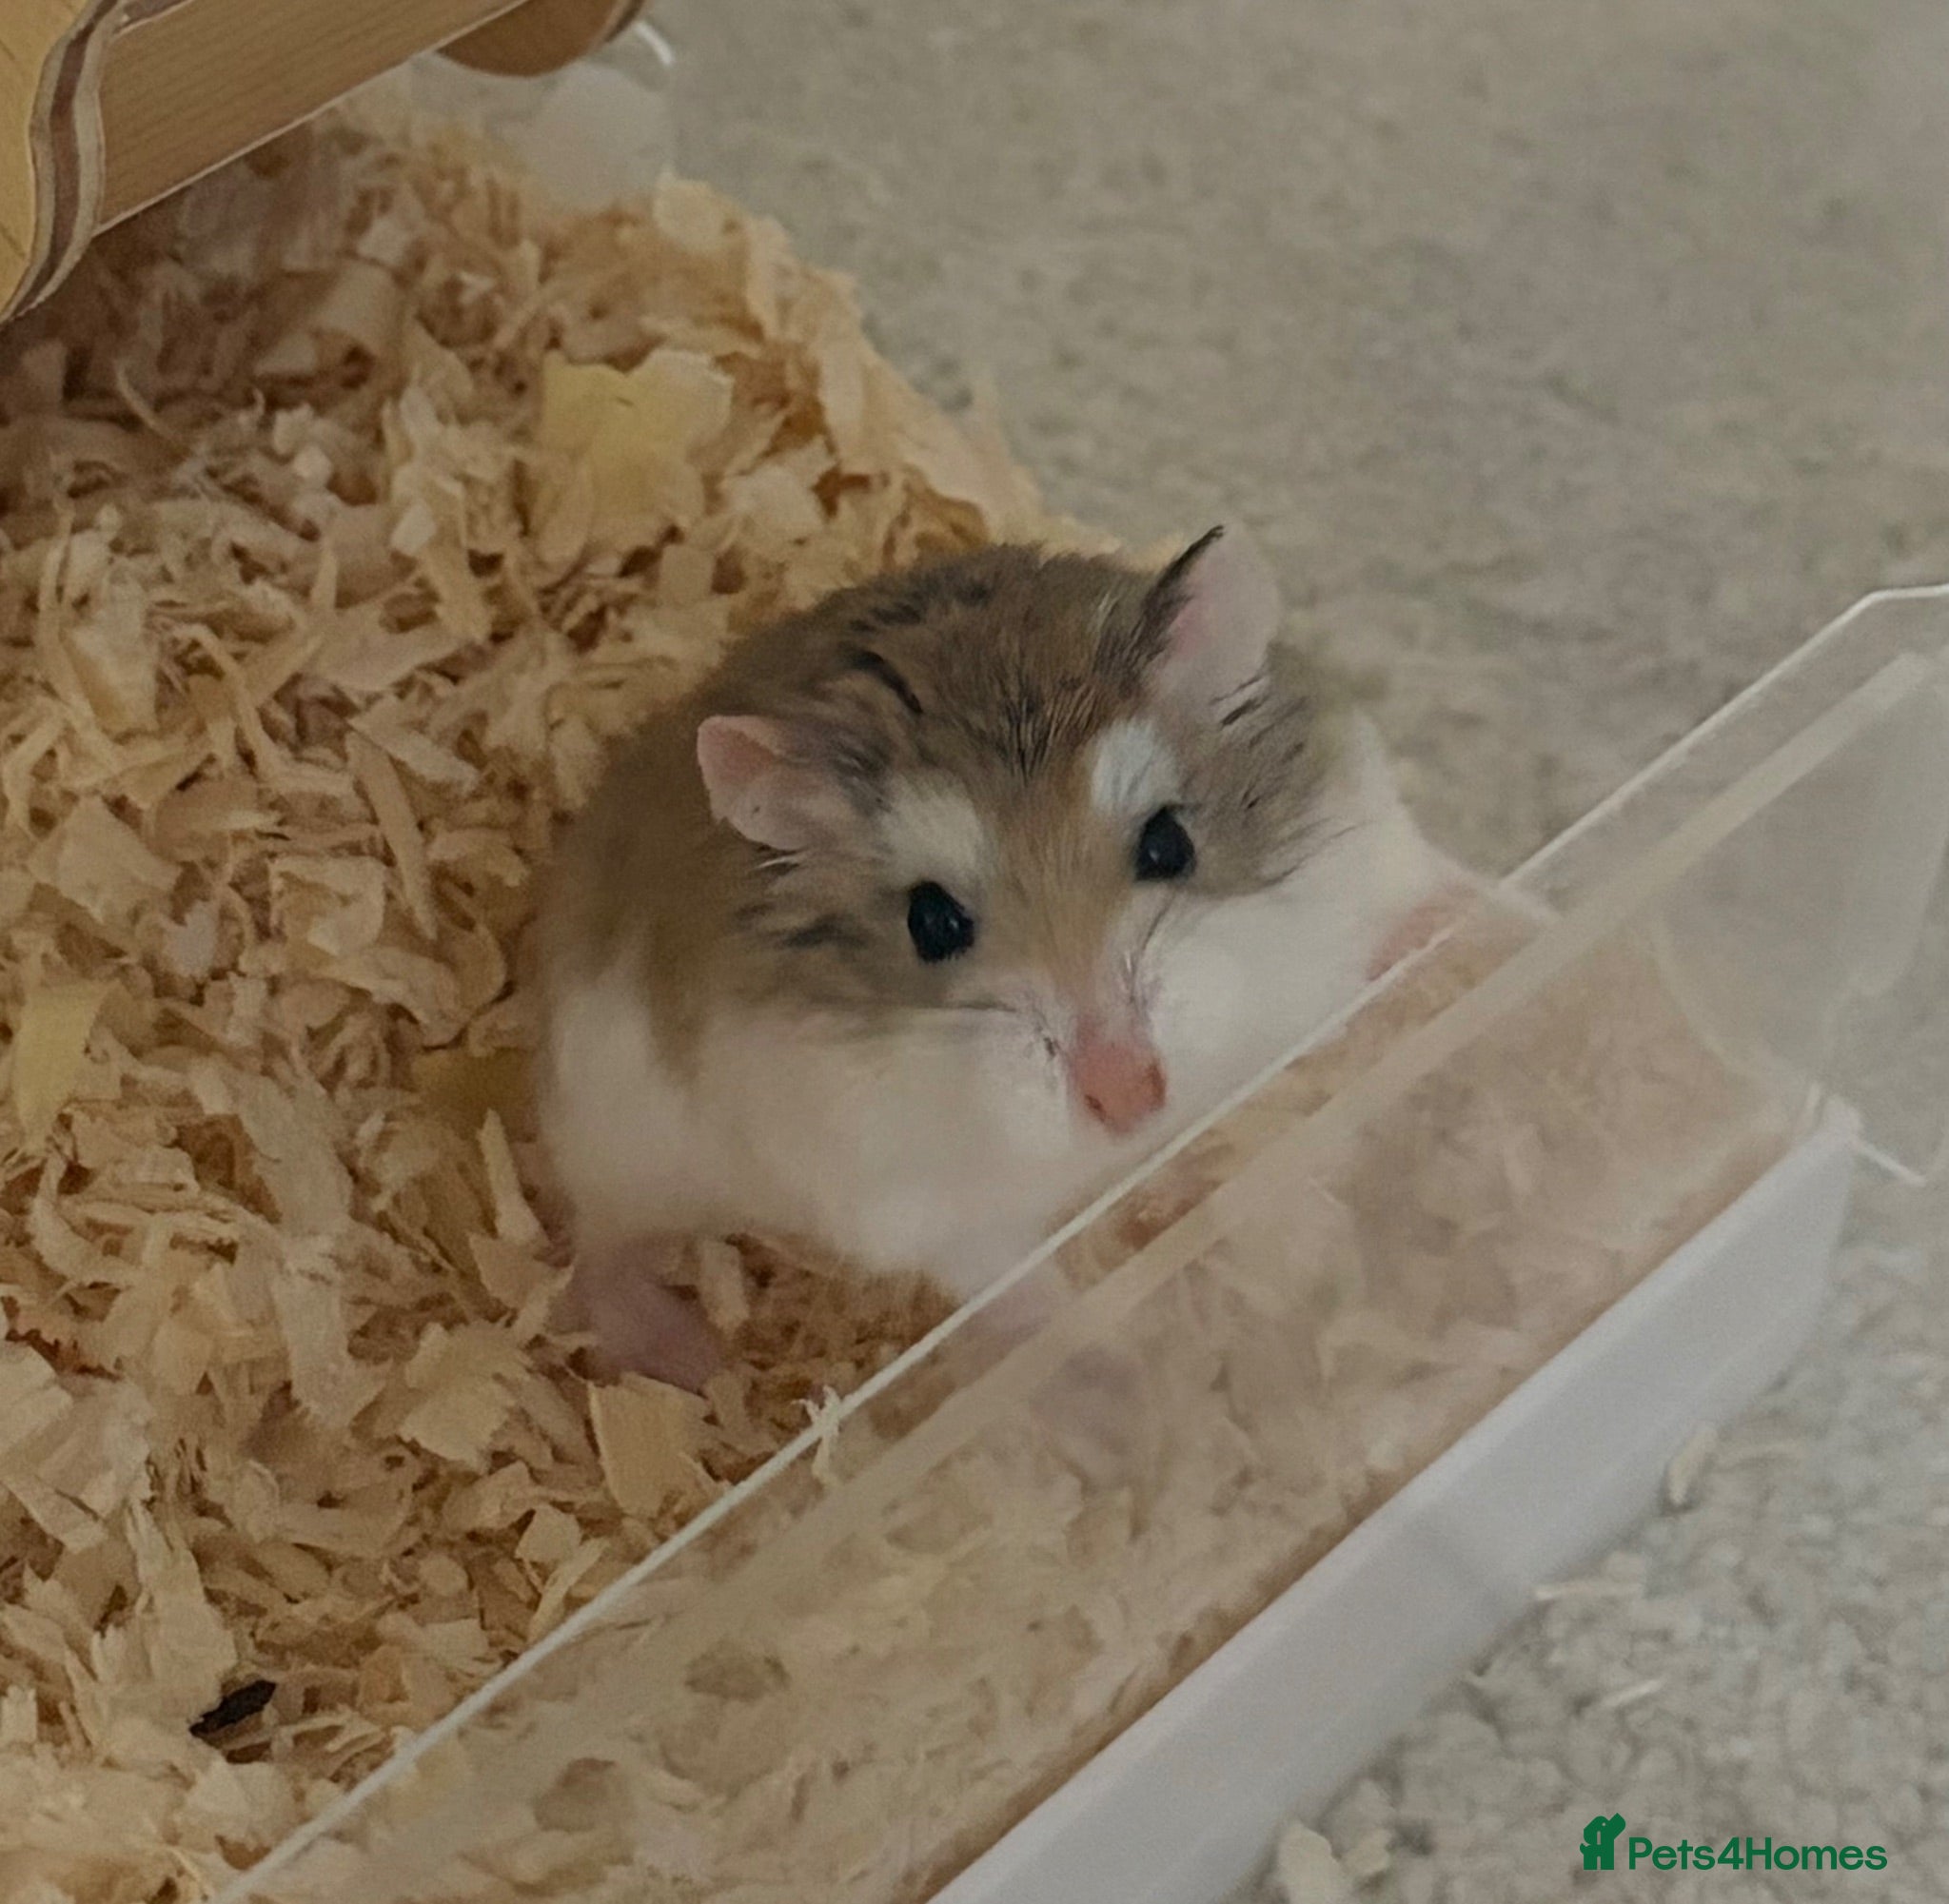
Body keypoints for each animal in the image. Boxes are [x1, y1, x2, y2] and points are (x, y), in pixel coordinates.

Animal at [534, 527, 1468, 1387]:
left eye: (1170, 843)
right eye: (932, 923)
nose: (1131, 1099)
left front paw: (1446, 930)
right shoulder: (925, 1206)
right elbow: (1010, 1278)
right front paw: (1110, 1347)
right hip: (618, 1139)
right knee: (600, 1245)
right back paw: (686, 1356)